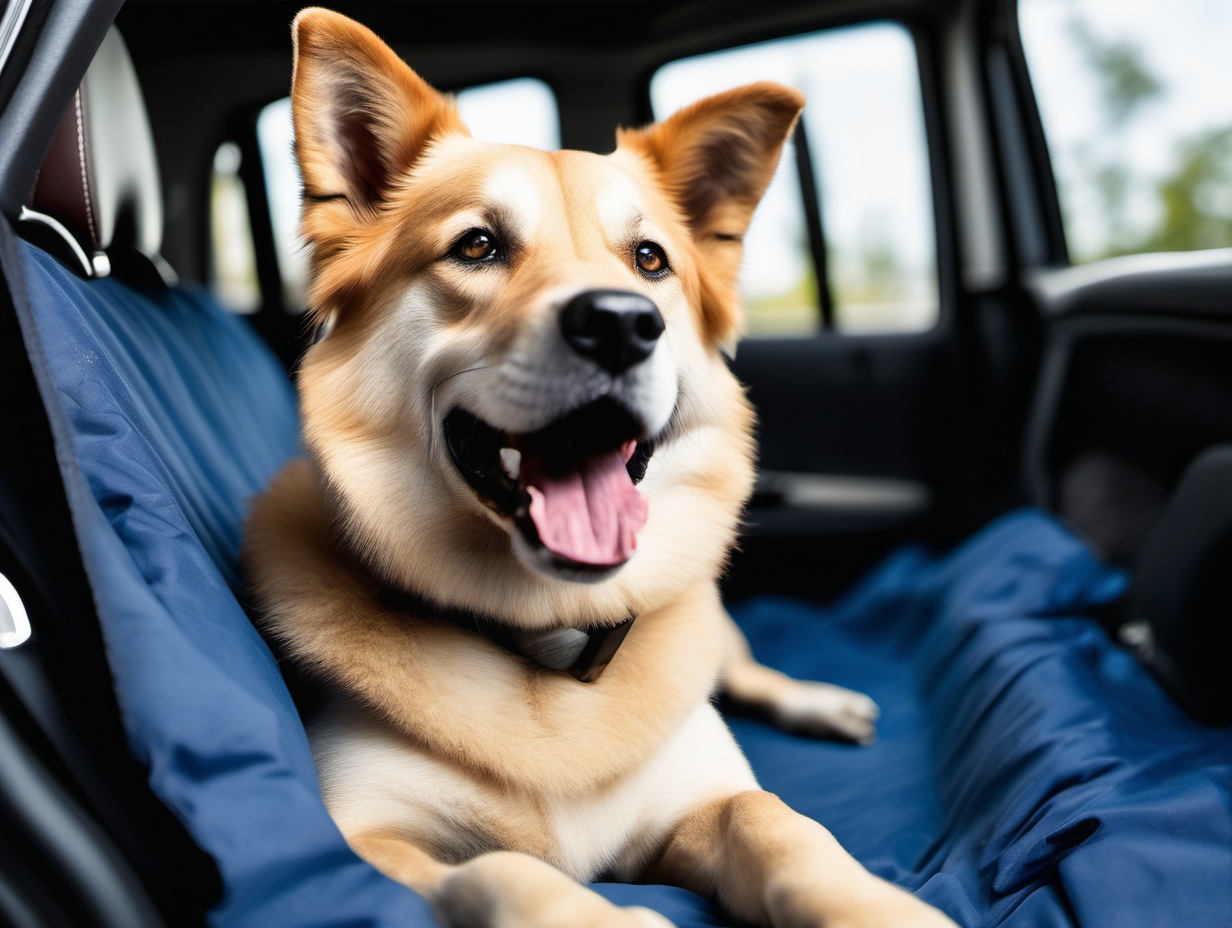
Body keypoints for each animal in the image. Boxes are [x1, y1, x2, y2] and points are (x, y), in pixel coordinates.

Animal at [240, 9, 951, 926]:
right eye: (477, 245)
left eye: (650, 261)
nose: (620, 323)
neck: (547, 639)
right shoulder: (362, 842)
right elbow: (505, 871)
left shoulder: (701, 802)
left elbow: (780, 825)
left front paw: (877, 906)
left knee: (741, 668)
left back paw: (819, 701)